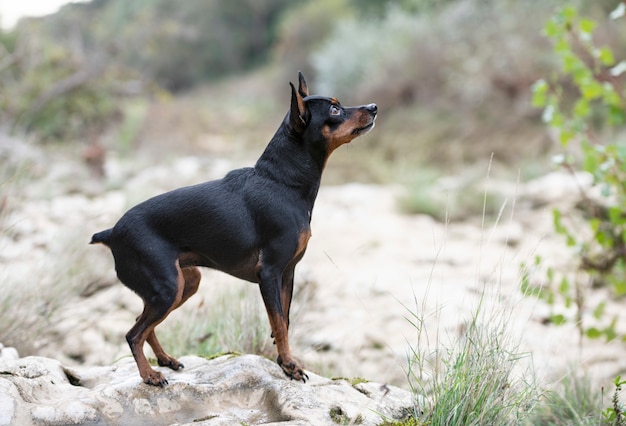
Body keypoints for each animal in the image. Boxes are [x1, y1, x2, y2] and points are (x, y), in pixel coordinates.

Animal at [90, 72, 376, 386]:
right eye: (335, 110)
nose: (373, 107)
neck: (281, 182)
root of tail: (112, 233)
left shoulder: (287, 274)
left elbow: (283, 322)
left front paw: (282, 360)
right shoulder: (269, 273)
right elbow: (280, 323)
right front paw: (290, 366)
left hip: (183, 284)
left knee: (142, 326)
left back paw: (165, 360)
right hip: (167, 289)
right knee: (133, 334)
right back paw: (149, 375)